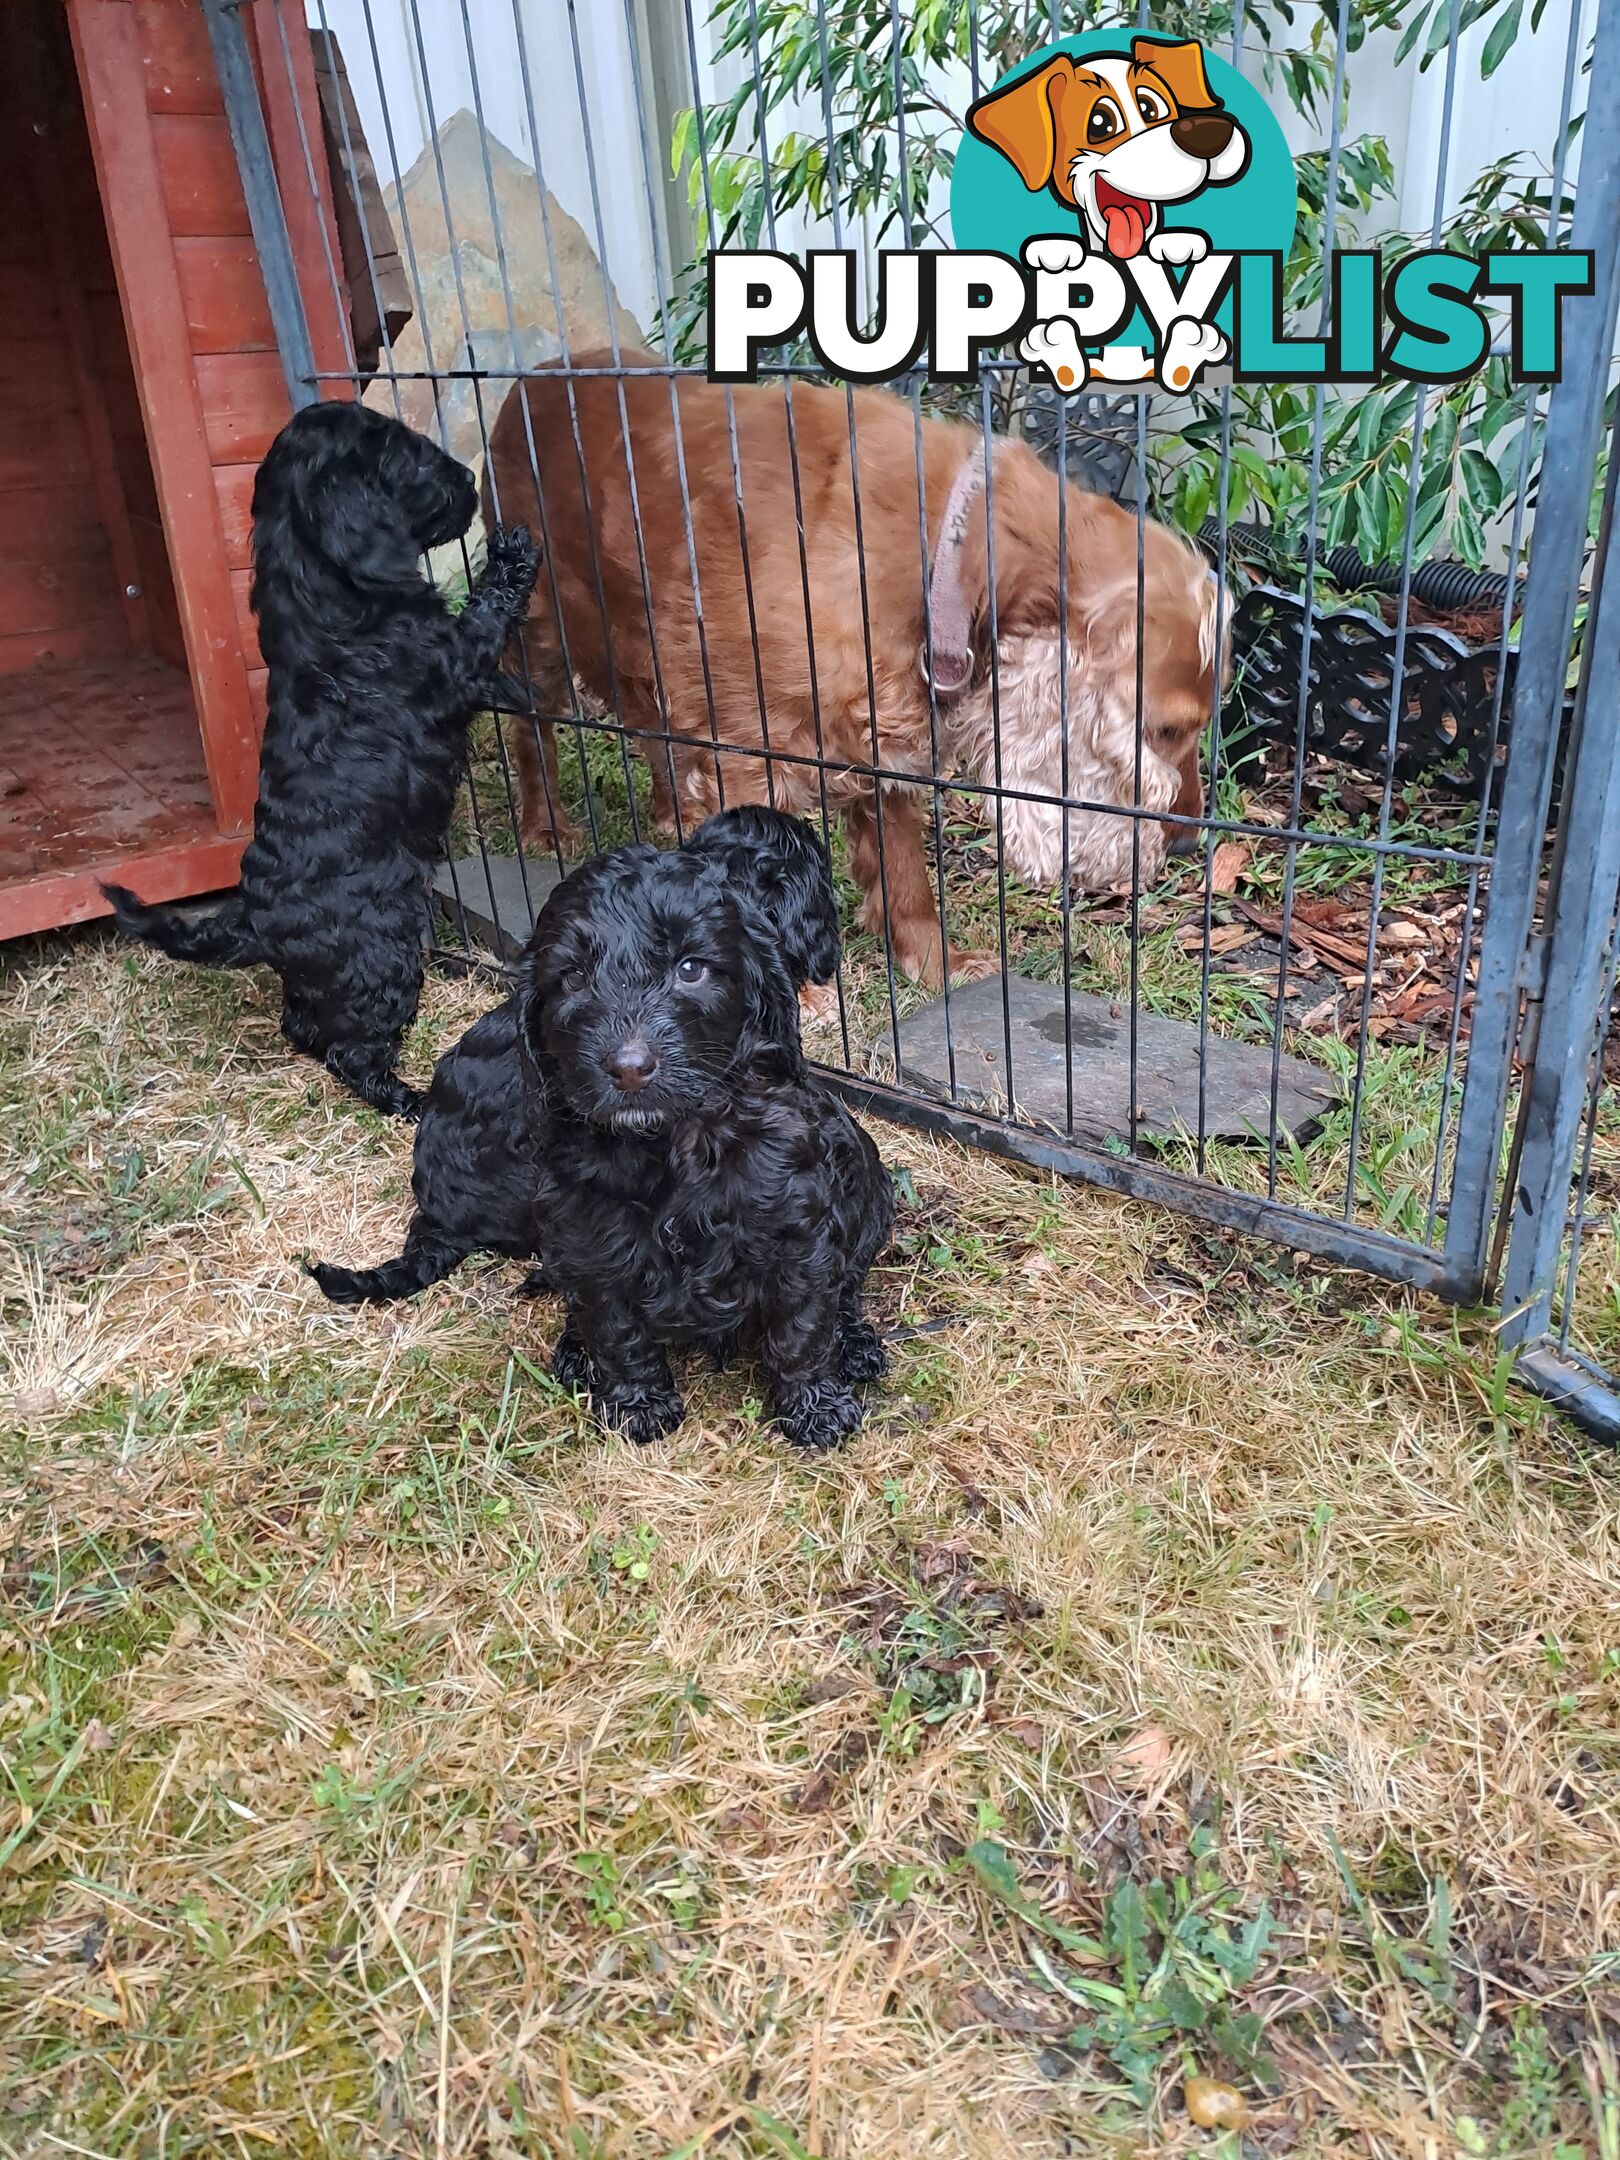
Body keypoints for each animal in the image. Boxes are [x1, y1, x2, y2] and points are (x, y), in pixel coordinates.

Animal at [103, 397, 546, 1123]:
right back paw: (409, 1099)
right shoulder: (451, 664)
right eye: (413, 456)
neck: (323, 592)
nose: (469, 482)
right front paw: (511, 553)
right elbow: (482, 618)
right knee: (351, 1052)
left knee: (303, 1027)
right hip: (380, 958)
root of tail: (255, 918)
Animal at [488, 349, 1226, 989]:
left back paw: (671, 818)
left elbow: (903, 874)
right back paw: (544, 826)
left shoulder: (881, 740)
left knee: (651, 730)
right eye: (1165, 730)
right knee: (531, 729)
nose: (1188, 843)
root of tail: (537, 374)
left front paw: (935, 962)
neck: (948, 551)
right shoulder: (746, 751)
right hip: (541, 630)